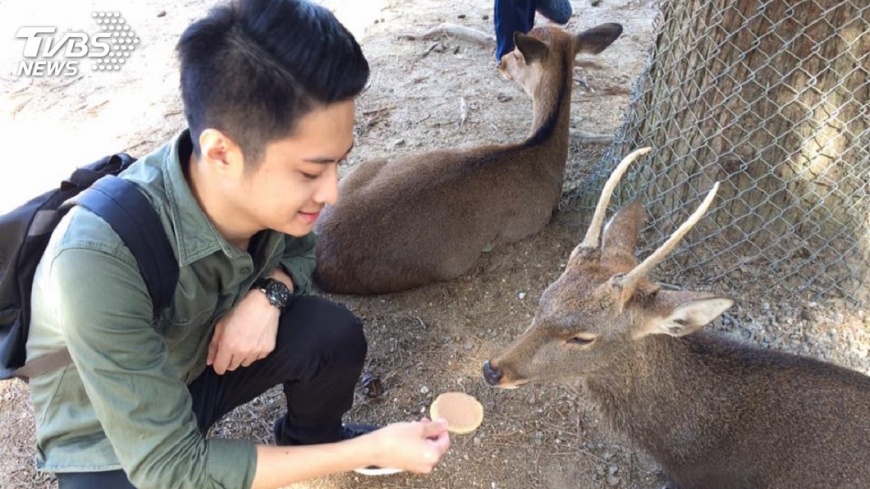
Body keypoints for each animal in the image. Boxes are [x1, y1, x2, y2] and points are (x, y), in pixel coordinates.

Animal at [313, 23, 624, 295]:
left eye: (518, 54)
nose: (500, 63)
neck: (541, 151)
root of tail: (319, 257)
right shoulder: (532, 221)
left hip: (366, 166)